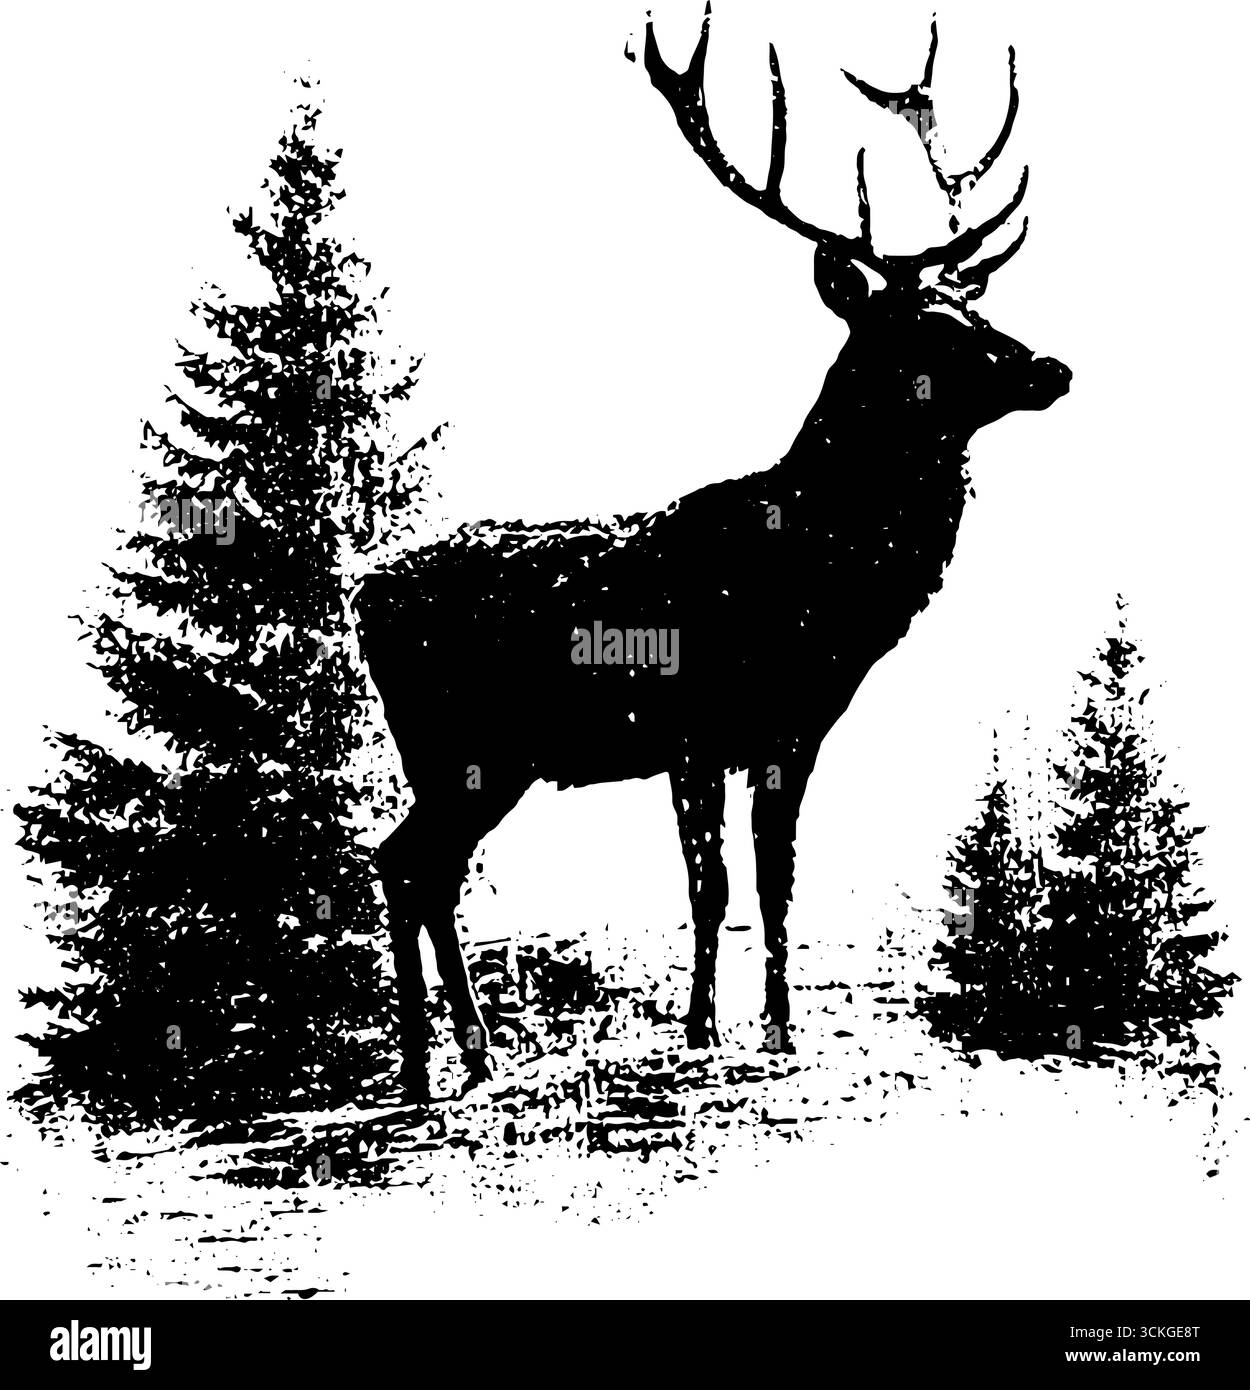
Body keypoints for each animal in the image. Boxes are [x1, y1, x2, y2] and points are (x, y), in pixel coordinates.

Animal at [355, 8, 1071, 1099]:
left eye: (975, 304)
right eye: (921, 327)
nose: (1051, 367)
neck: (810, 580)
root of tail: (360, 594)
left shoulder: (793, 730)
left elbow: (776, 879)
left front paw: (778, 1028)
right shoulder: (691, 725)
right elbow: (710, 881)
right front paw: (699, 1030)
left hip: (480, 757)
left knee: (421, 866)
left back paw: (465, 1056)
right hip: (457, 743)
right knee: (404, 863)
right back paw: (427, 1066)